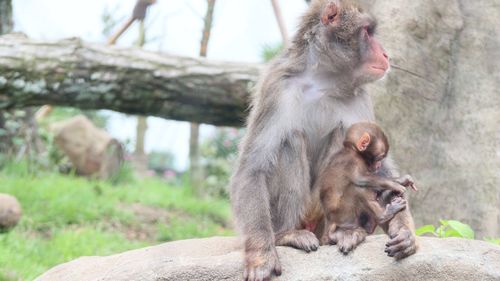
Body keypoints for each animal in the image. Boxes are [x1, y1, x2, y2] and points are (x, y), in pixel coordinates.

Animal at [318, 121, 416, 253]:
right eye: (380, 157)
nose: (379, 165)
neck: (353, 150)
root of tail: (330, 221)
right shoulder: (352, 161)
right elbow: (361, 179)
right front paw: (396, 183)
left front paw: (402, 180)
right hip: (342, 213)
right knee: (357, 188)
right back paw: (383, 215)